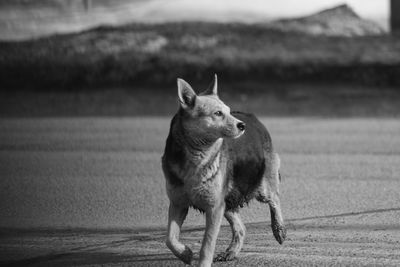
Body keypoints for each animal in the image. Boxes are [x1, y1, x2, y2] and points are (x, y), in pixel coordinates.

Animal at [161, 74, 286, 266]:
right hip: (228, 200)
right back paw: (231, 252)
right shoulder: (178, 204)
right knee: (241, 228)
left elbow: (207, 245)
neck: (195, 159)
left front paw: (201, 262)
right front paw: (185, 254)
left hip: (261, 187)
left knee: (275, 200)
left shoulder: (214, 208)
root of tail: (251, 117)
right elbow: (170, 238)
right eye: (218, 113)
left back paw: (279, 229)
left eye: (227, 111)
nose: (242, 126)